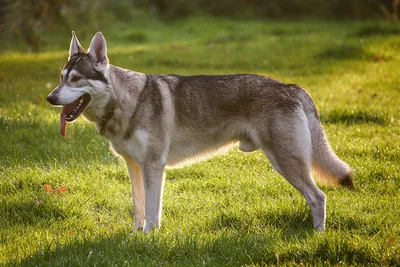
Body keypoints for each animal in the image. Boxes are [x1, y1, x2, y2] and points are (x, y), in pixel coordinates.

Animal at [47, 30, 354, 232]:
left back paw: (317, 235)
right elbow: (138, 208)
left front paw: (150, 238)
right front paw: (135, 237)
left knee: (318, 197)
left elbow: (152, 212)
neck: (127, 102)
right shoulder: (134, 166)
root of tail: (292, 86)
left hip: (287, 163)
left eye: (76, 79)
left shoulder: (154, 167)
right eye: (61, 78)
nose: (50, 98)